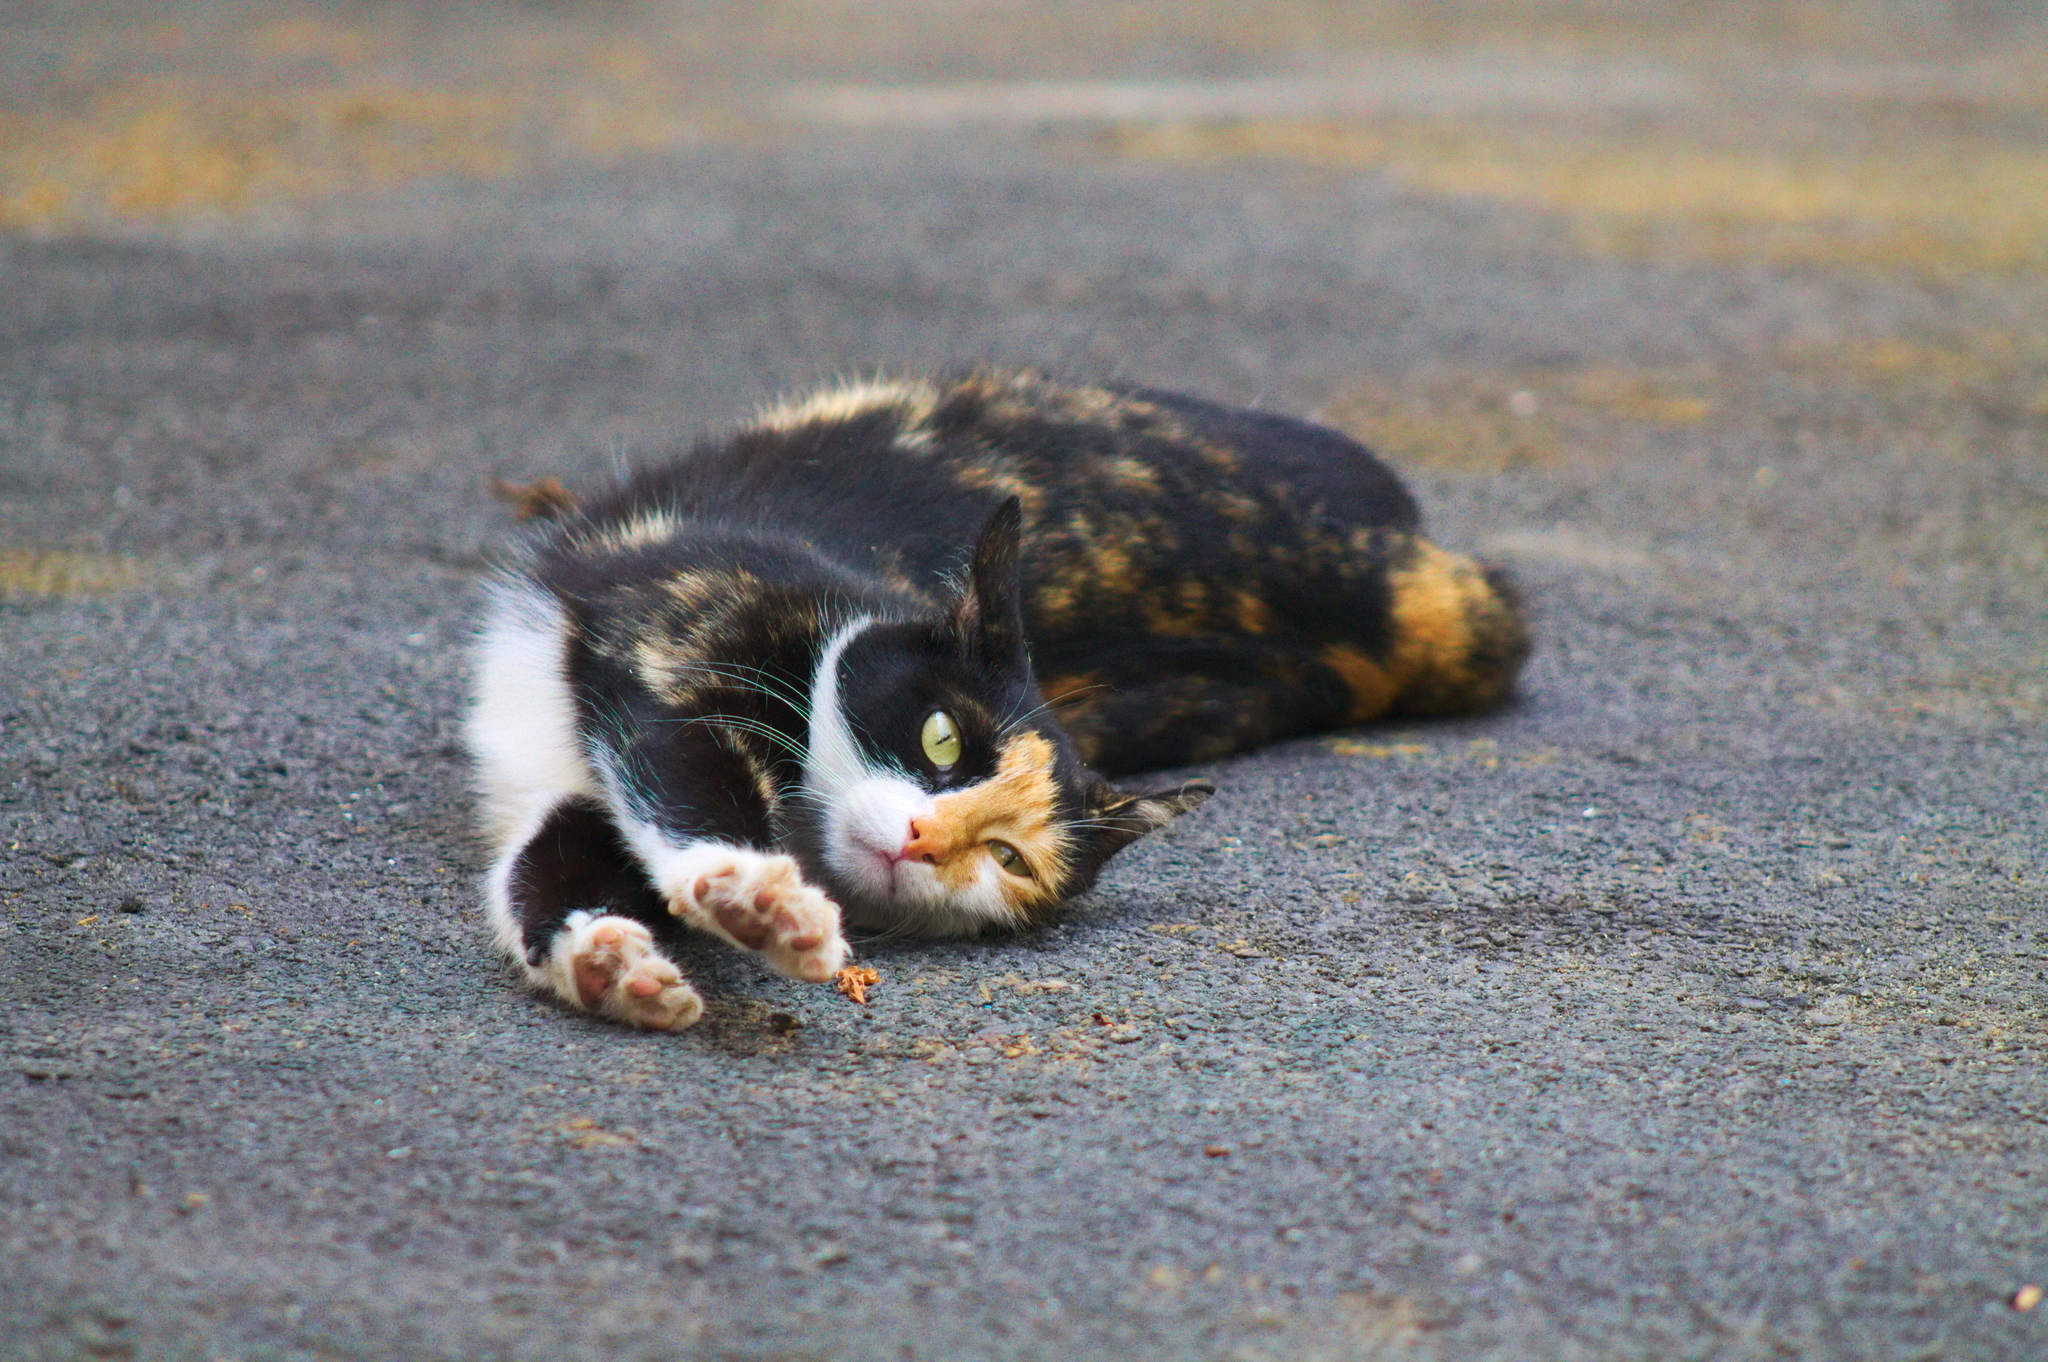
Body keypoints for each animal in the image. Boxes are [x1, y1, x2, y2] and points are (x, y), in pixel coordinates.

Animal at [464, 366, 1523, 1024]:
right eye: (943, 739)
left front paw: (700, 930)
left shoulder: (637, 703)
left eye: (1010, 859)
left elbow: (621, 815)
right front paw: (662, 938)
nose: (926, 840)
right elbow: (615, 817)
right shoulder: (674, 638)